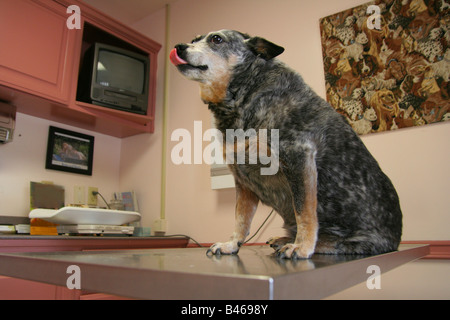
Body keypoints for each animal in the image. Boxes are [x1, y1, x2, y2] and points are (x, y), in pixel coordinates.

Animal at [171, 30, 402, 258]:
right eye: (193, 40)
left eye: (216, 39)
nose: (178, 47)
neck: (245, 95)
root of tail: (395, 241)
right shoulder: (242, 178)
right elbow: (241, 218)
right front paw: (232, 244)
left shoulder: (298, 156)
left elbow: (304, 211)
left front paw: (302, 246)